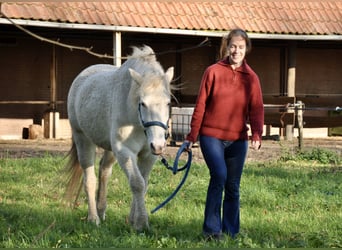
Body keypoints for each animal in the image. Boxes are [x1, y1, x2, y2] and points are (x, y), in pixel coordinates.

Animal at [64, 46, 174, 231]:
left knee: (104, 172)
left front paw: (133, 221)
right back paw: (93, 218)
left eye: (168, 103)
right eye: (143, 103)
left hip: (110, 150)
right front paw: (141, 223)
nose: (159, 146)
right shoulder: (125, 151)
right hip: (83, 140)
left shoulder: (148, 155)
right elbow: (137, 183)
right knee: (90, 179)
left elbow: (143, 184)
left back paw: (101, 211)